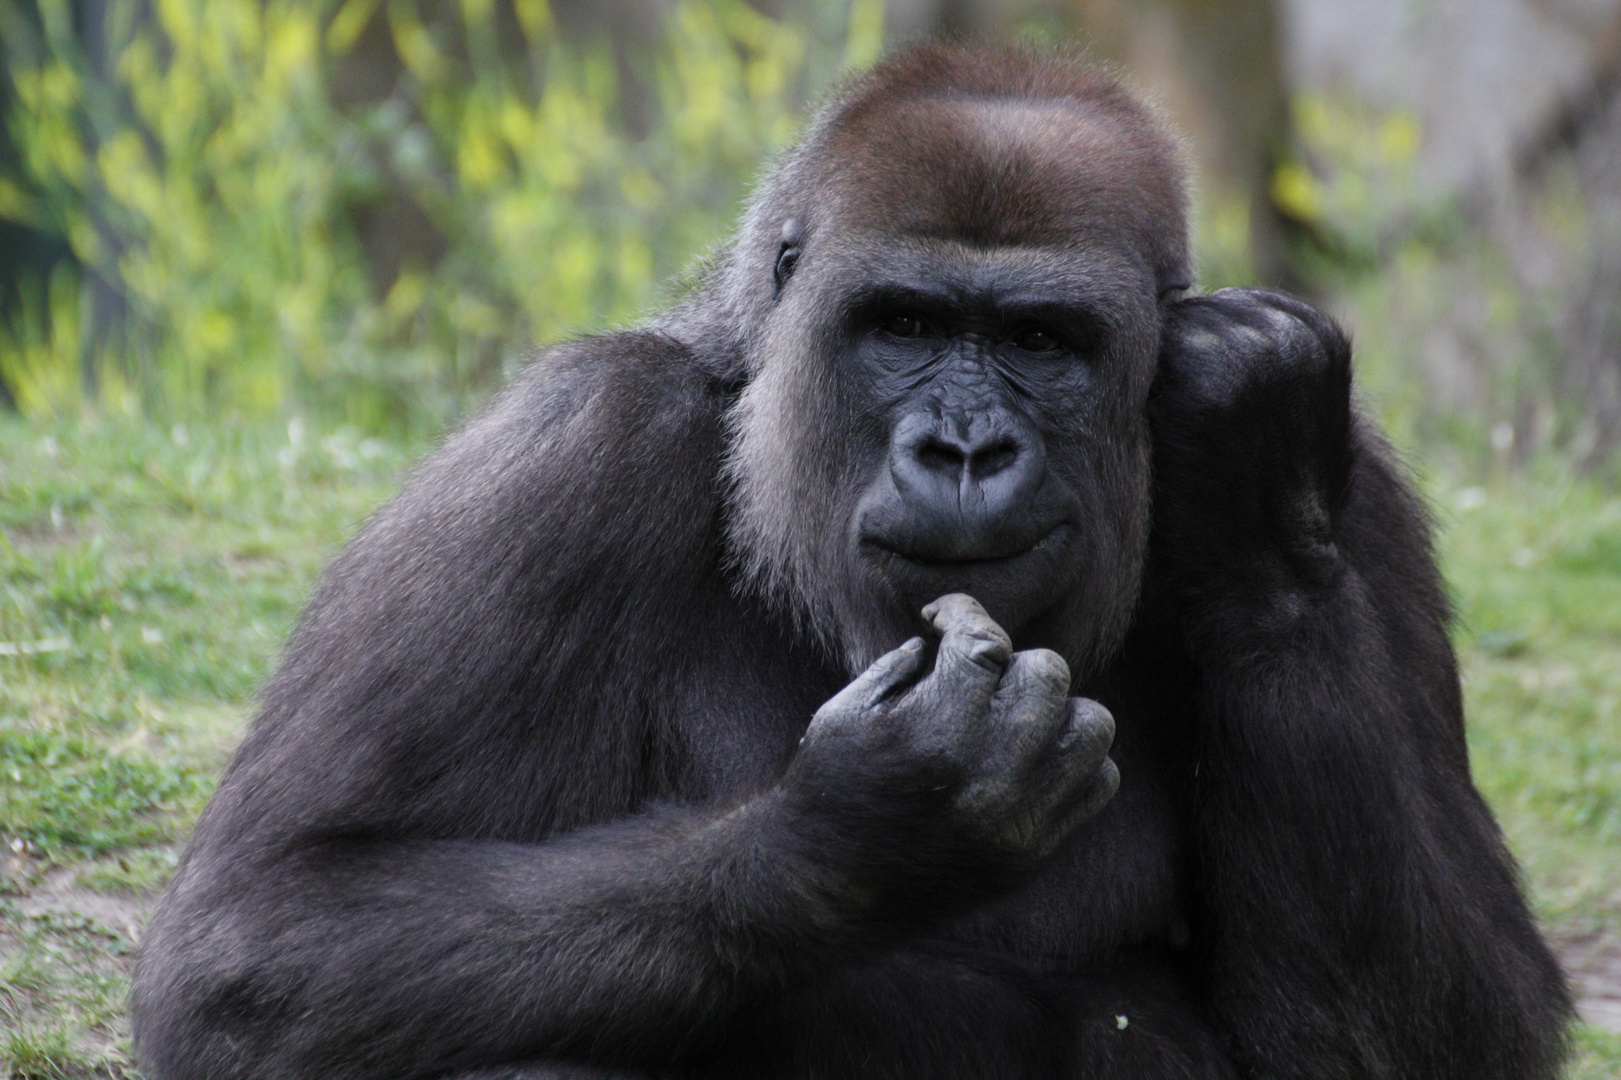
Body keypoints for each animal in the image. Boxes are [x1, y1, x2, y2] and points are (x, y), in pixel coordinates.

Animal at [136, 44, 1569, 1076]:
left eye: (1041, 341)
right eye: (905, 325)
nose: (964, 449)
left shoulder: (1361, 490)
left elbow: (1444, 1032)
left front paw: (1250, 466)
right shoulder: (572, 448)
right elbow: (265, 933)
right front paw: (865, 825)